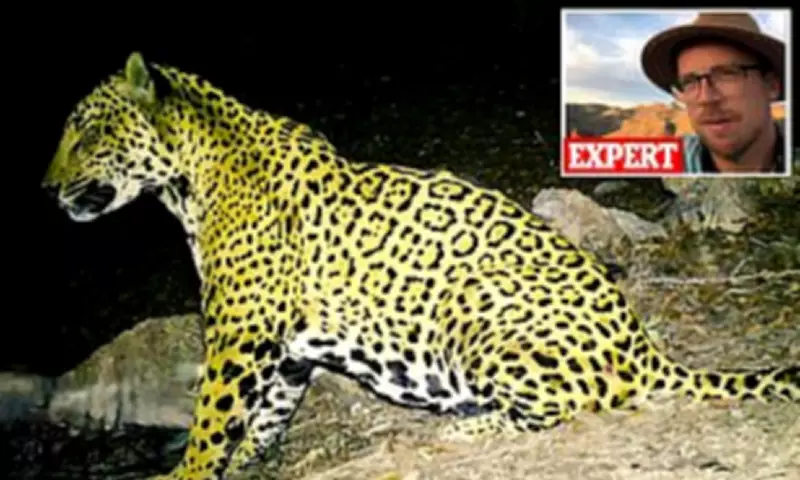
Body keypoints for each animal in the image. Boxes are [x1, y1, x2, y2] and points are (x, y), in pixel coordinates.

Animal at [41, 51, 799, 480]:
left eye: (89, 129)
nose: (46, 189)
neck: (189, 181)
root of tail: (647, 349)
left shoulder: (238, 334)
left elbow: (211, 416)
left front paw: (188, 474)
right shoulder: (283, 347)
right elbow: (267, 413)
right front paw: (252, 460)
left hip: (476, 307)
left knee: (577, 404)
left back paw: (467, 423)